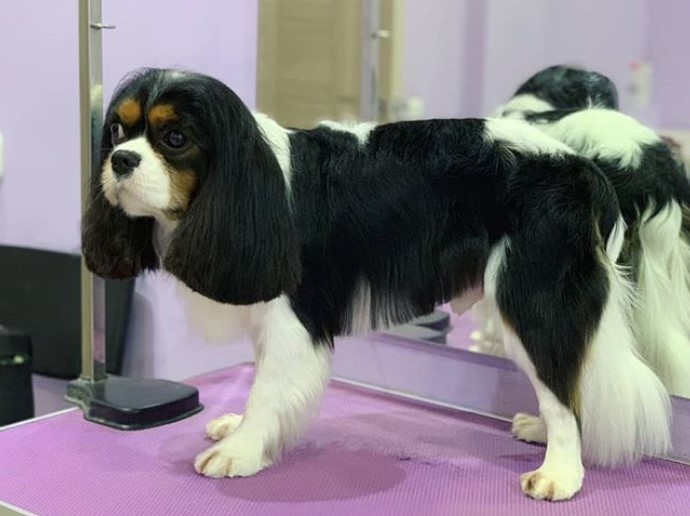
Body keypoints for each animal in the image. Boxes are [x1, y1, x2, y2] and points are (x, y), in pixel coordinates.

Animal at [79, 68, 668, 500]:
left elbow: (269, 388)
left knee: (562, 389)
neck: (246, 178)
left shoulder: (295, 317)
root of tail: (581, 169)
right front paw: (242, 430)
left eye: (175, 138)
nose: (121, 160)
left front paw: (242, 451)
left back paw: (560, 473)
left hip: (532, 297)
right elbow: (262, 380)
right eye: (118, 132)